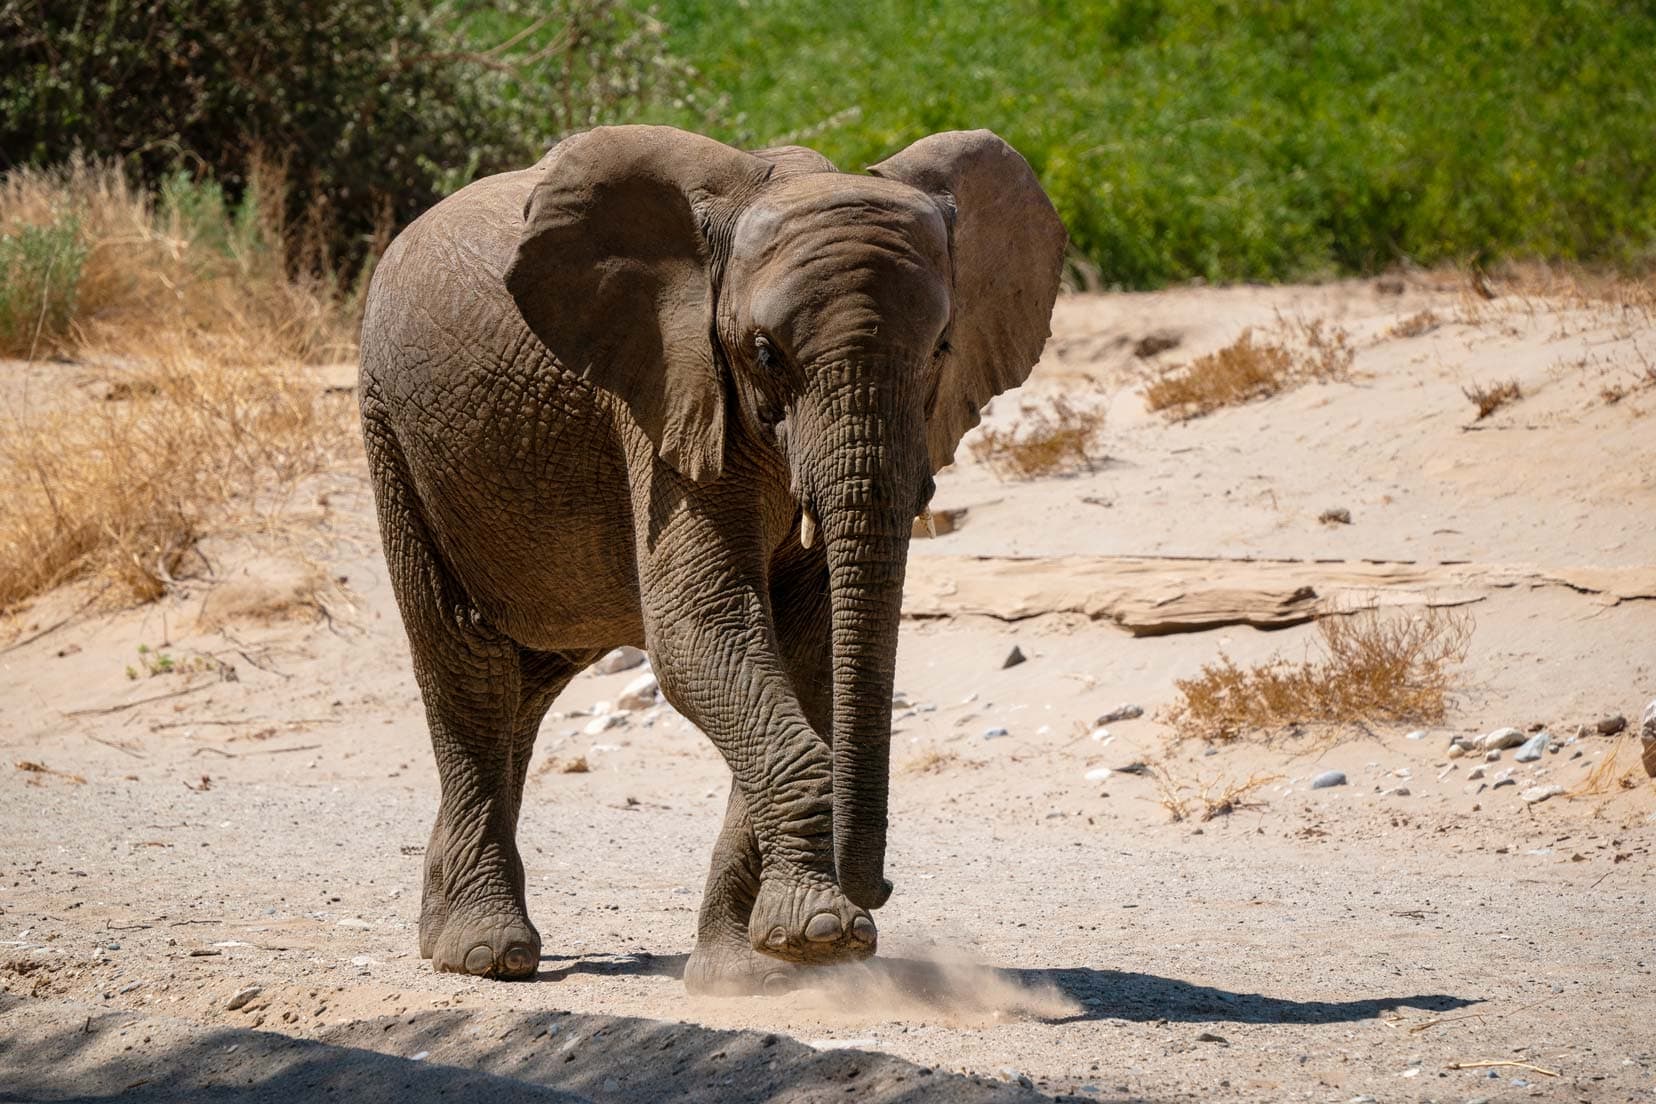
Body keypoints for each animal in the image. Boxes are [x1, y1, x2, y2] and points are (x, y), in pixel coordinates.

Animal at [356, 123, 1066, 993]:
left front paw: (758, 969)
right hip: (391, 431)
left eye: (941, 348)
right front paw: (824, 936)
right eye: (764, 353)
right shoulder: (665, 395)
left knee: (526, 687)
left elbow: (802, 653)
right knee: (468, 668)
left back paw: (449, 933)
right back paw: (485, 956)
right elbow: (704, 632)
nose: (881, 886)